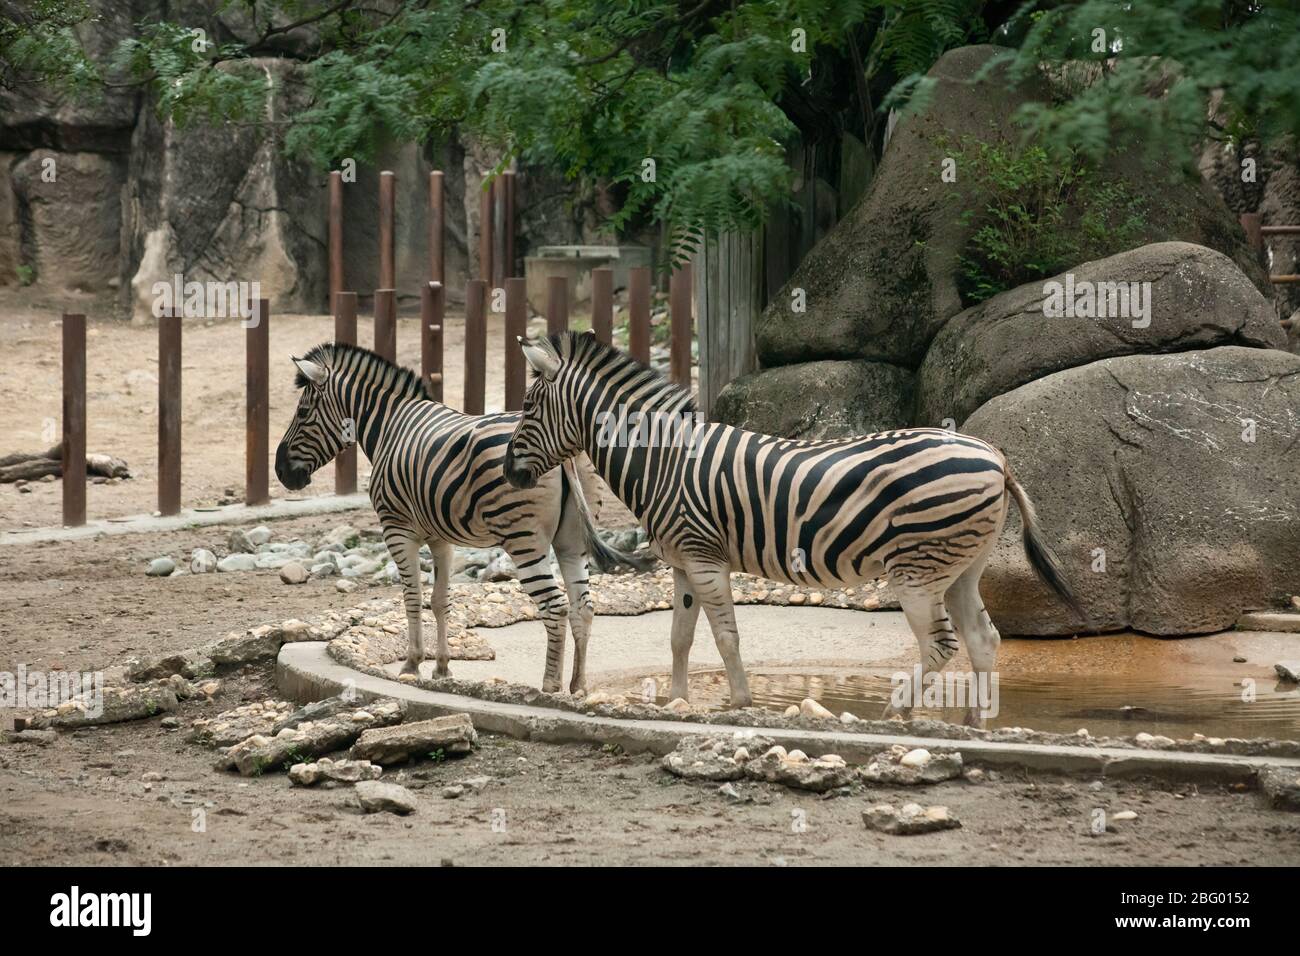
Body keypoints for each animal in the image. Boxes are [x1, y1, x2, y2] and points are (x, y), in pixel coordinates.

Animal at [274, 341, 649, 694]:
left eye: (303, 412)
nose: (281, 472)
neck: (390, 425)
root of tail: (564, 454)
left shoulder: (396, 528)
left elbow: (412, 596)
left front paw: (411, 665)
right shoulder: (441, 537)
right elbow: (440, 601)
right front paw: (442, 668)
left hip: (524, 539)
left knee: (554, 607)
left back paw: (549, 686)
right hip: (571, 540)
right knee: (582, 607)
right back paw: (578, 687)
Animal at [503, 332, 1086, 726]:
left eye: (528, 407)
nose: (510, 474)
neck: (663, 461)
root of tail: (994, 457)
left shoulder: (705, 558)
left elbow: (727, 636)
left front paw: (739, 704)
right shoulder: (683, 563)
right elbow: (680, 637)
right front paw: (677, 702)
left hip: (918, 570)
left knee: (942, 644)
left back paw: (892, 717)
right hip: (963, 566)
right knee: (982, 639)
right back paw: (972, 726)